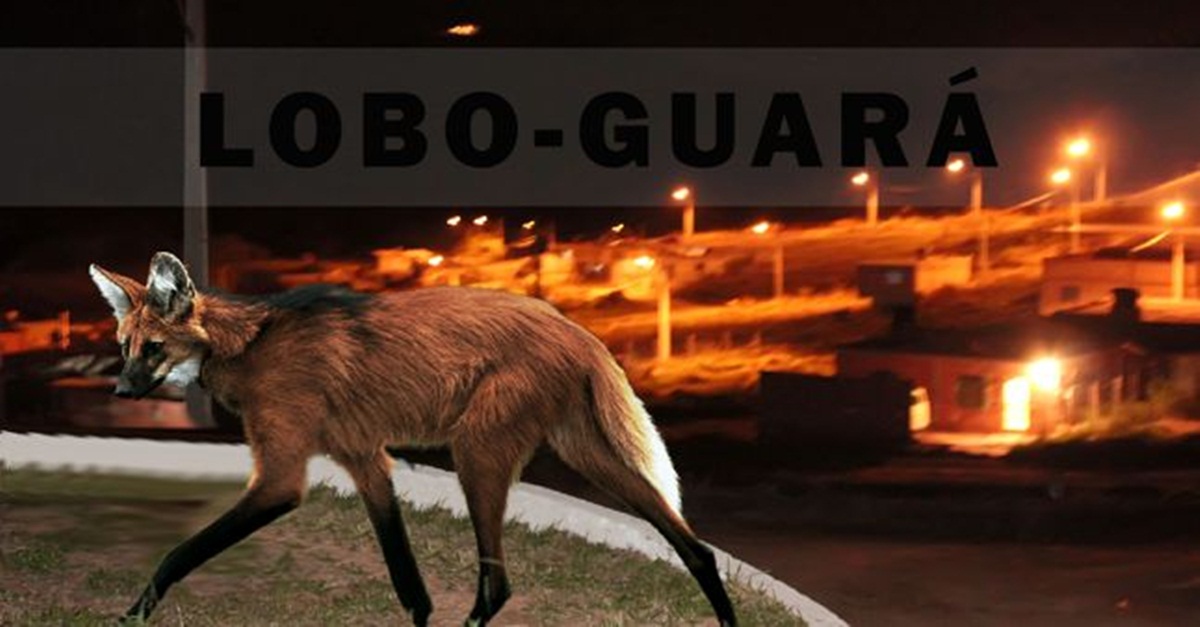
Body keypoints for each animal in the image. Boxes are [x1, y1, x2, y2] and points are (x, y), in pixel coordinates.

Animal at [89, 252, 738, 626]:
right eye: (124, 346)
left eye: (153, 349)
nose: (120, 390)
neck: (246, 347)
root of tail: (574, 328)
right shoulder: (364, 459)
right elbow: (408, 582)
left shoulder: (282, 478)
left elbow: (178, 552)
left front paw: (133, 613)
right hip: (582, 449)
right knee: (696, 548)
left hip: (478, 451)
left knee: (498, 585)